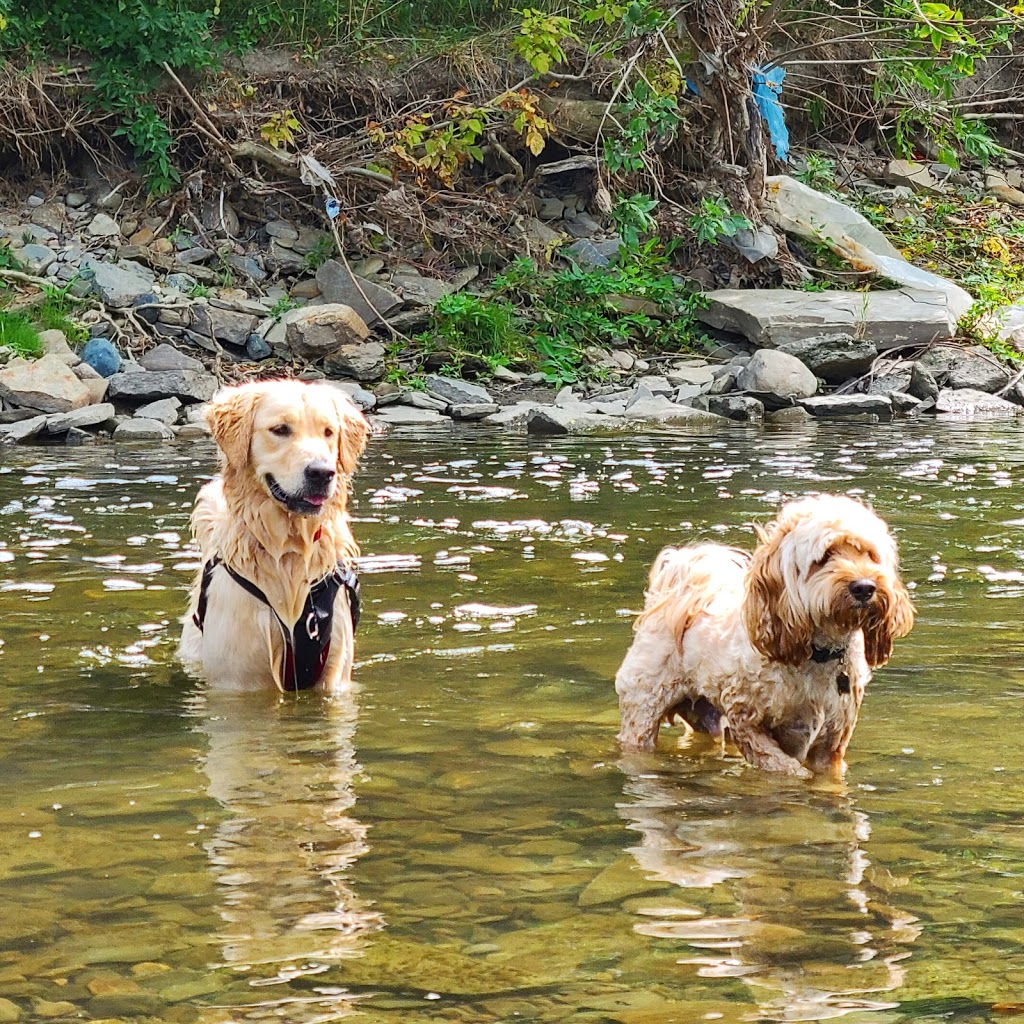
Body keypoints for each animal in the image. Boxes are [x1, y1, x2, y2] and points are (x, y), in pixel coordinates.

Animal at [180, 380, 372, 692]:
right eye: (281, 429)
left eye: (328, 432)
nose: (322, 472)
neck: (290, 550)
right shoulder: (239, 679)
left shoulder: (334, 676)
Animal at [610, 495, 917, 774]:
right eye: (825, 557)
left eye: (869, 555)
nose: (864, 587)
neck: (817, 654)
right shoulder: (745, 719)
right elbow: (787, 769)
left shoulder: (832, 743)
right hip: (643, 709)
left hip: (705, 719)